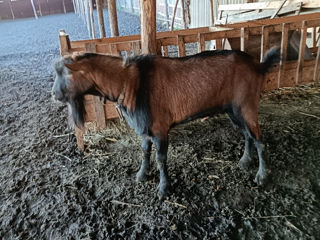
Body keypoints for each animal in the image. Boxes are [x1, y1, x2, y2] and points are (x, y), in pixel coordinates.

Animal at [52, 47, 280, 200]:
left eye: (67, 74)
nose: (54, 95)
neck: (133, 83)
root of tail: (258, 65)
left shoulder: (160, 128)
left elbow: (161, 159)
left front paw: (163, 188)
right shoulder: (145, 128)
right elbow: (144, 151)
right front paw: (141, 175)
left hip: (247, 105)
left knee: (259, 139)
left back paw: (261, 176)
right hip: (233, 110)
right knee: (247, 134)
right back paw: (244, 161)